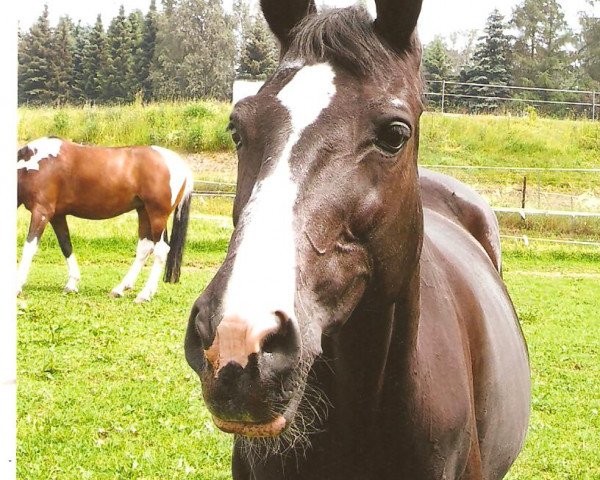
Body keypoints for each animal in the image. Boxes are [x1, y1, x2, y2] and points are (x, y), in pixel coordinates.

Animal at [17, 135, 192, 302]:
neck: (35, 165)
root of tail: (181, 165)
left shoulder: (42, 211)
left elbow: (29, 247)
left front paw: (17, 285)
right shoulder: (57, 216)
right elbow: (66, 245)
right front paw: (72, 284)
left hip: (157, 215)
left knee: (161, 250)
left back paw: (144, 295)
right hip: (143, 212)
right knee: (144, 249)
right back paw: (120, 289)